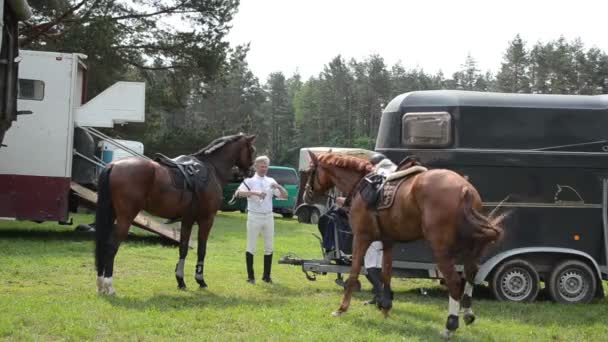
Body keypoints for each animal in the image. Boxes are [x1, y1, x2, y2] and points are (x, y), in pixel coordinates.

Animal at [95, 133, 256, 294]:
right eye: (252, 150)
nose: (252, 172)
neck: (212, 168)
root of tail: (114, 165)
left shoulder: (187, 220)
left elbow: (183, 249)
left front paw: (181, 281)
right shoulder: (207, 219)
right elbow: (201, 250)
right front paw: (200, 280)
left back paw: (101, 283)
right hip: (125, 218)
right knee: (111, 246)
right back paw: (109, 285)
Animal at [302, 153, 506, 340]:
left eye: (312, 171)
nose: (306, 194)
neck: (361, 184)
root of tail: (465, 189)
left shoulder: (361, 238)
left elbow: (353, 274)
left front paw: (342, 308)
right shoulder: (388, 242)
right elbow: (385, 275)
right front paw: (385, 308)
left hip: (441, 250)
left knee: (455, 282)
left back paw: (450, 325)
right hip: (470, 247)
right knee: (471, 274)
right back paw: (468, 314)